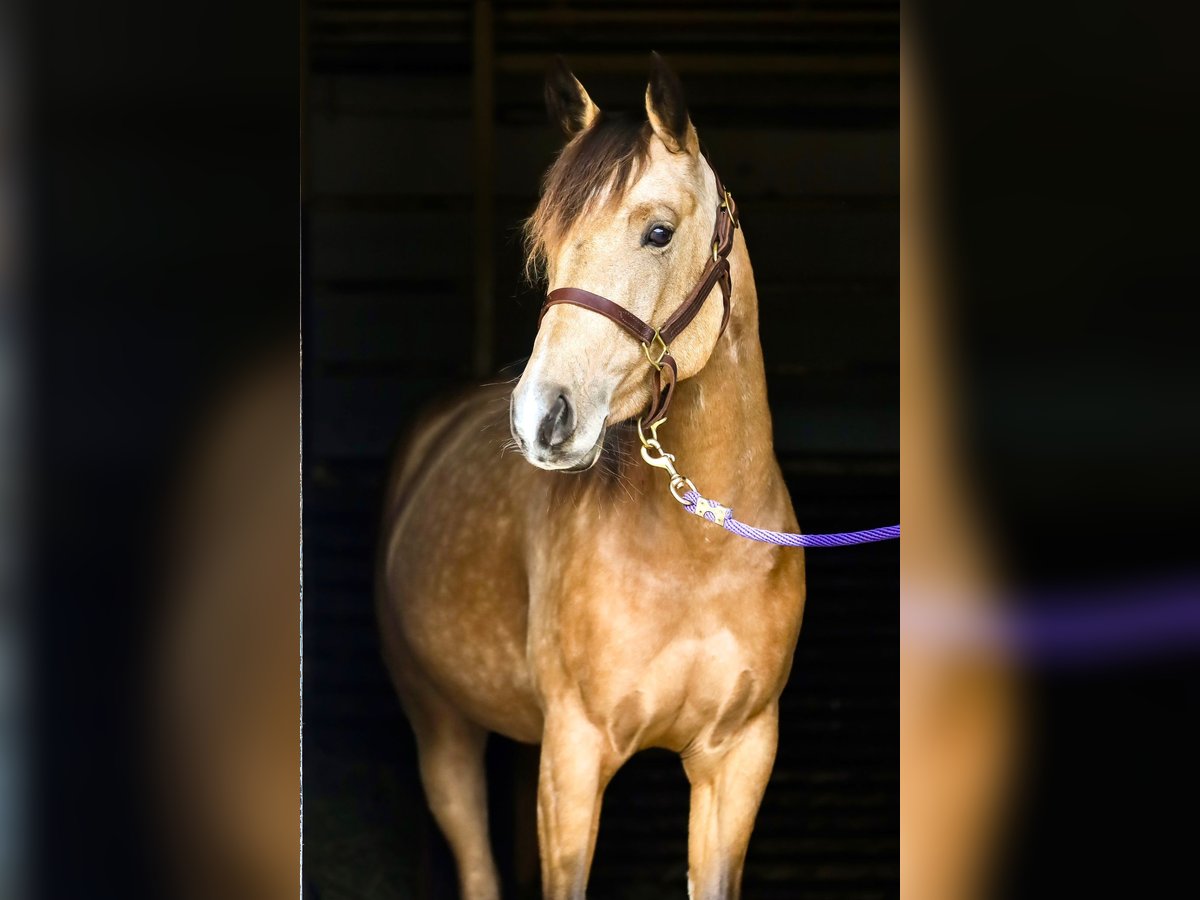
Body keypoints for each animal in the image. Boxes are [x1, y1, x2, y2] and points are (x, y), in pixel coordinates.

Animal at [376, 53, 806, 900]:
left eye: (658, 232)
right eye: (550, 242)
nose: (541, 416)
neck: (698, 556)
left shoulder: (739, 759)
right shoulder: (574, 757)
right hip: (441, 730)